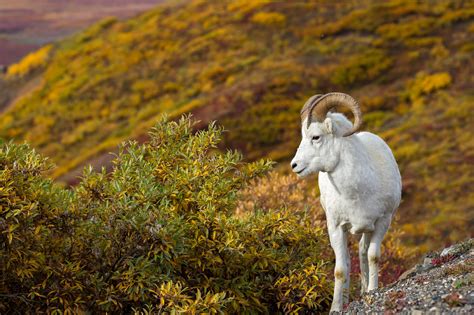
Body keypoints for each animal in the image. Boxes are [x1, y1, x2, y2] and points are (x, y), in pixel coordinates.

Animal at [290, 92, 402, 314]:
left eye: (316, 137)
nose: (294, 165)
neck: (357, 192)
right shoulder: (335, 228)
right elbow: (340, 270)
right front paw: (336, 307)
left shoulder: (382, 222)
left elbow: (373, 256)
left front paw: (372, 291)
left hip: (367, 230)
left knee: (362, 252)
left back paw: (365, 290)